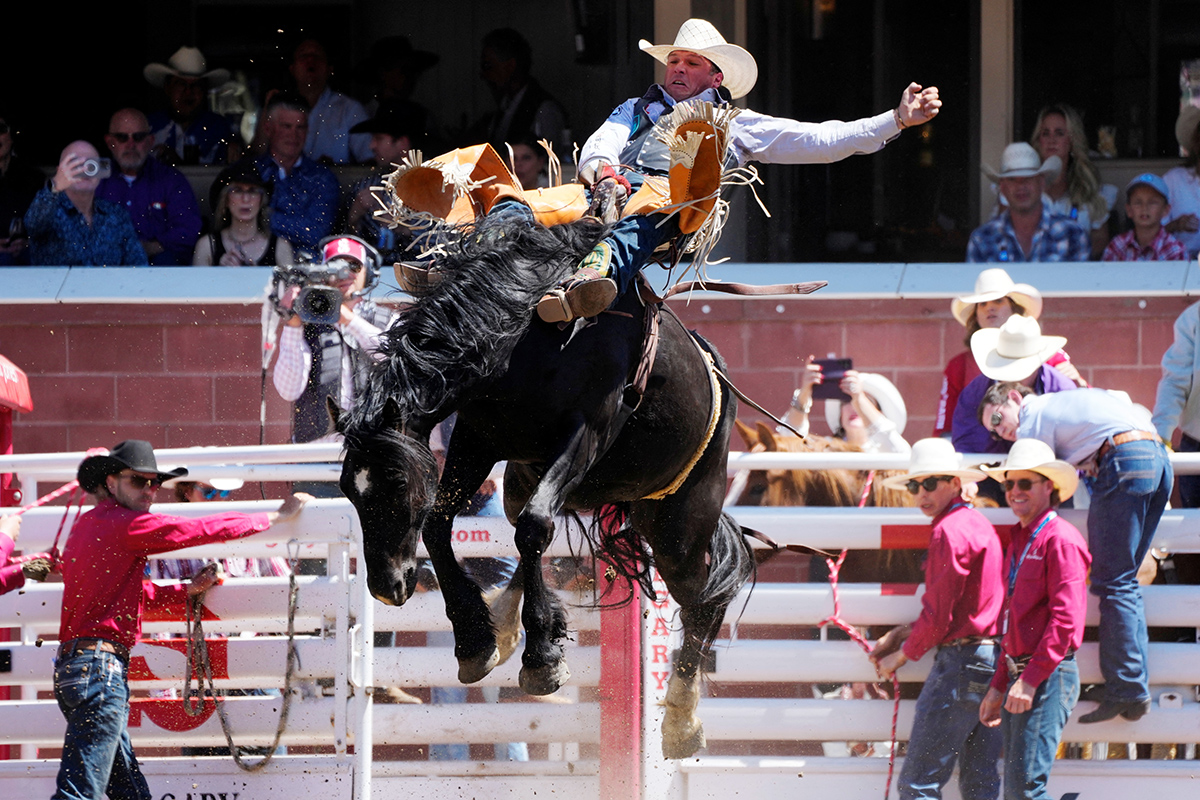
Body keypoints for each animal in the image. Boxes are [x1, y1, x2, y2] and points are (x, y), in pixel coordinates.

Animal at [333, 211, 753, 758]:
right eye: (348, 488)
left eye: (399, 481)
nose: (386, 587)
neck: (528, 333)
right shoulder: (478, 438)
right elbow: (440, 525)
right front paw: (476, 640)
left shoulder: (586, 432)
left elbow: (533, 527)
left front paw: (543, 659)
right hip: (549, 484)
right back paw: (506, 624)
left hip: (679, 526)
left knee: (706, 595)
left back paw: (682, 718)